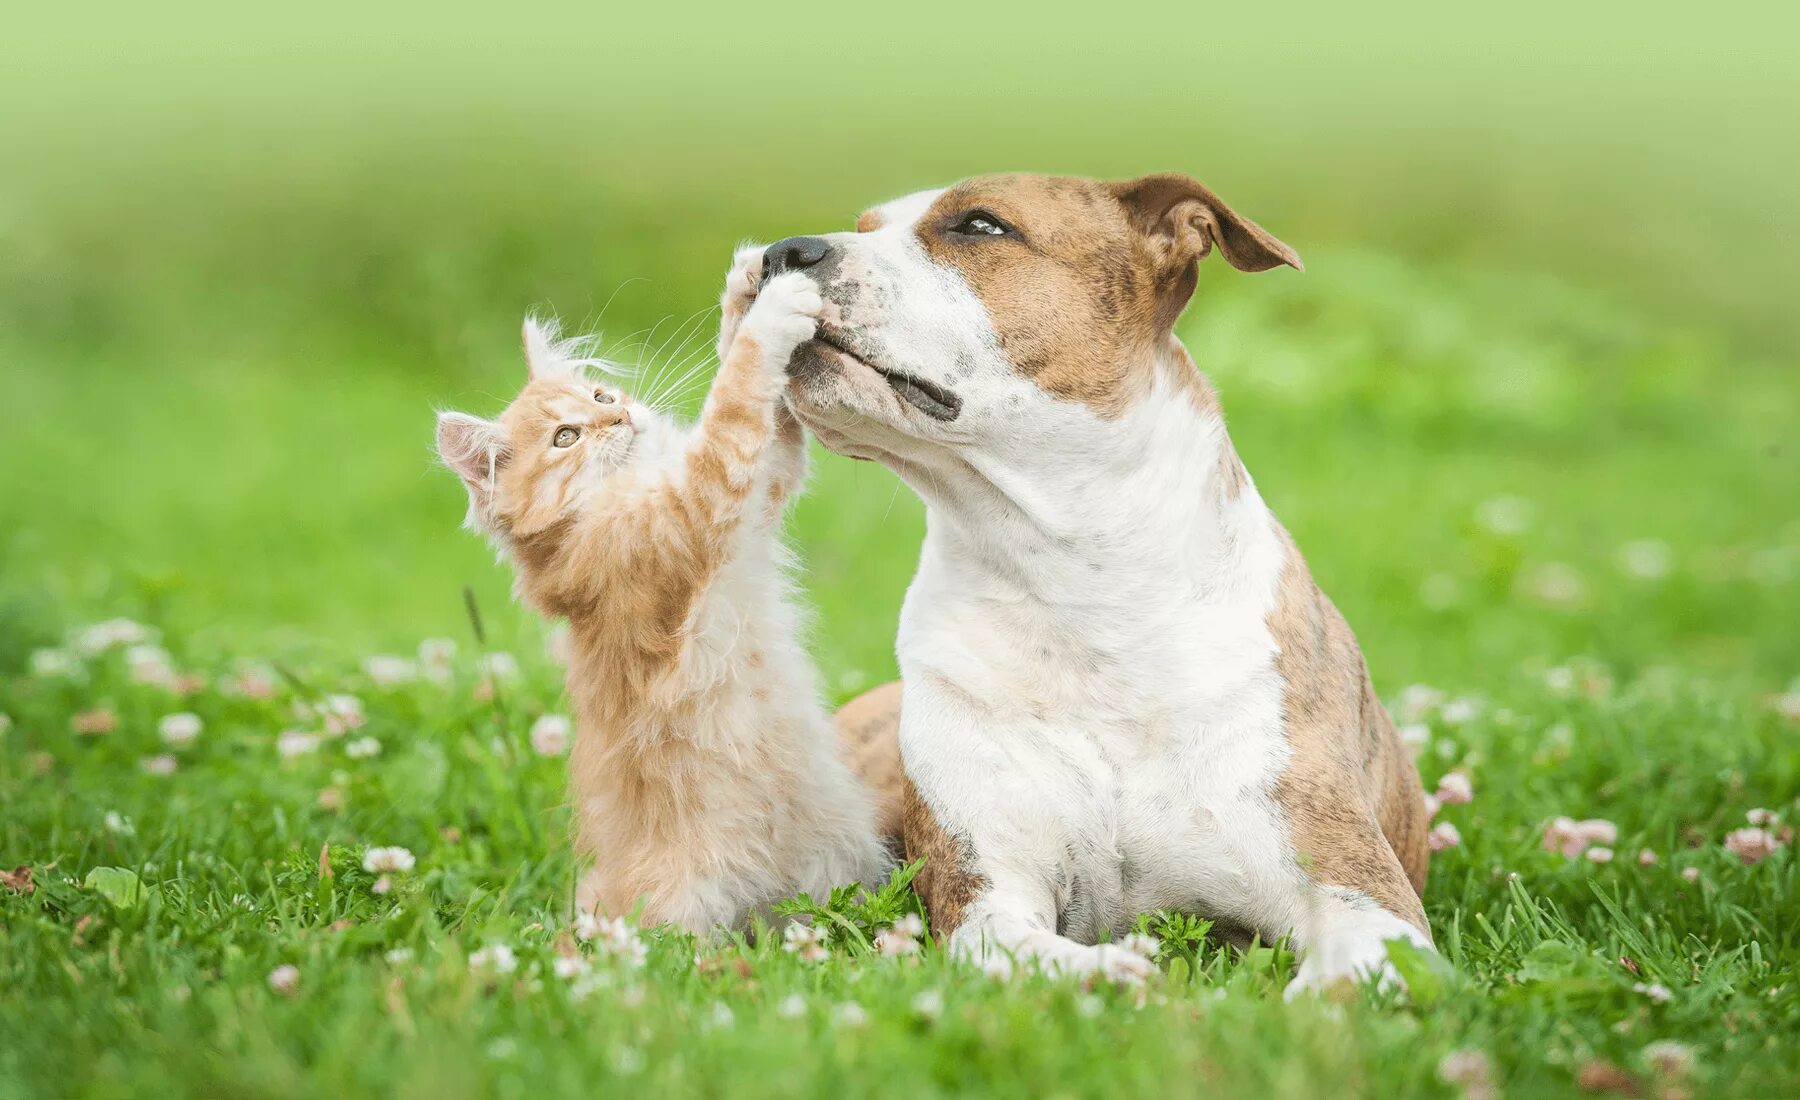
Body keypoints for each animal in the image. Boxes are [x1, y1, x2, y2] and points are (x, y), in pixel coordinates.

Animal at [430, 262, 892, 936]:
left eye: (600, 398)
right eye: (566, 438)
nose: (619, 418)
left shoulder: (758, 496)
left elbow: (765, 422)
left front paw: (745, 288)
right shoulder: (689, 513)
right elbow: (733, 401)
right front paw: (772, 311)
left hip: (843, 858)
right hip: (684, 908)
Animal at [781, 176, 1425, 993]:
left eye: (980, 226)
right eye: (864, 226)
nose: (781, 251)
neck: (1077, 586)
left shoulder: (1365, 898)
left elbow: (1342, 978)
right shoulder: (987, 897)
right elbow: (1048, 957)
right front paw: (1127, 977)